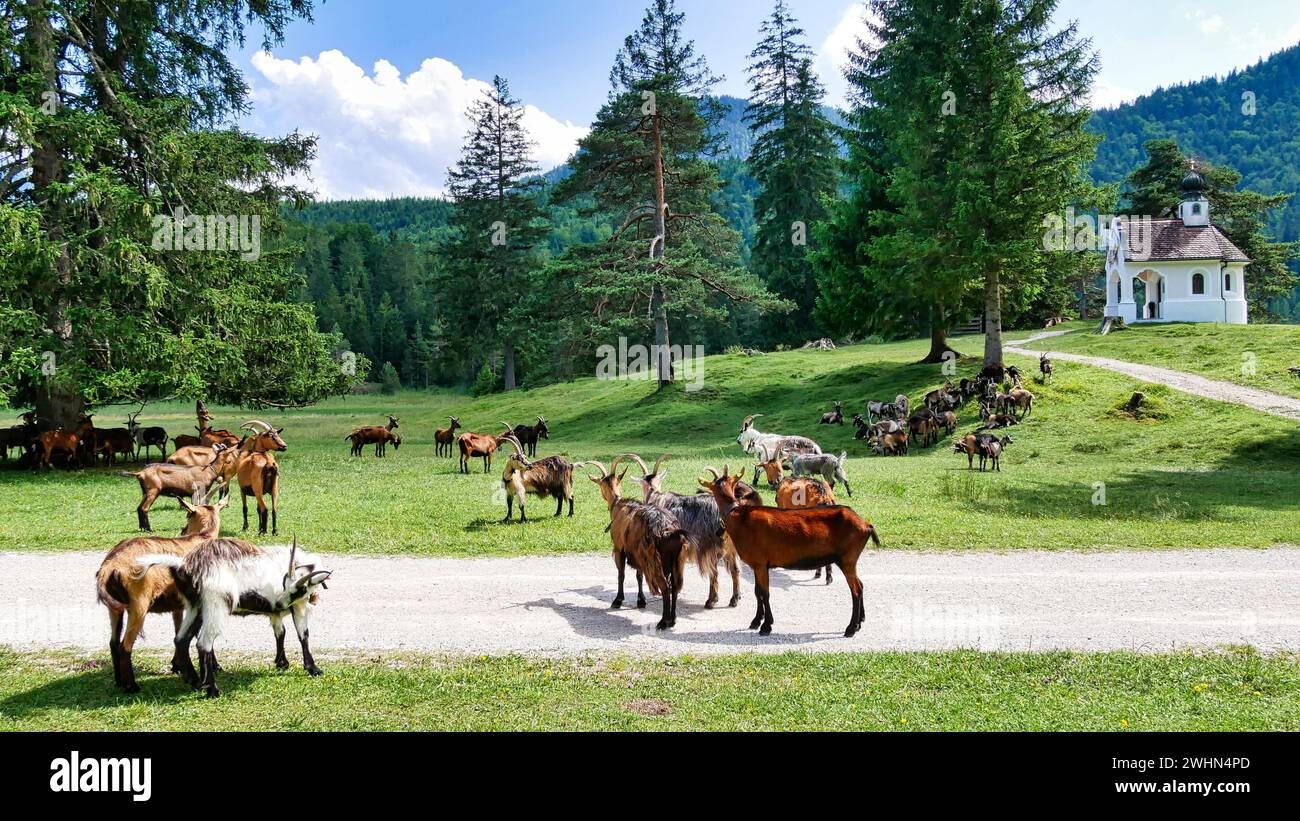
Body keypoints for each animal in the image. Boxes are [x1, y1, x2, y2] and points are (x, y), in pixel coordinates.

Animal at [587, 454, 691, 628]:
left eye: (600, 484)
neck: (618, 504)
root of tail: (670, 531)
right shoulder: (638, 554)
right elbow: (639, 576)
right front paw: (641, 600)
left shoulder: (619, 548)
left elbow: (621, 574)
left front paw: (617, 600)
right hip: (677, 560)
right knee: (675, 587)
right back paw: (673, 620)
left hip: (656, 560)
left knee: (665, 587)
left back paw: (663, 621)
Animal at [702, 467, 883, 633]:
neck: (740, 518)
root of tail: (866, 525)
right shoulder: (757, 565)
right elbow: (757, 592)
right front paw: (756, 621)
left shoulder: (761, 564)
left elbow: (764, 593)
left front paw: (766, 626)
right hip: (850, 560)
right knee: (860, 585)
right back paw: (860, 621)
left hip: (847, 559)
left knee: (856, 589)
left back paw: (851, 628)